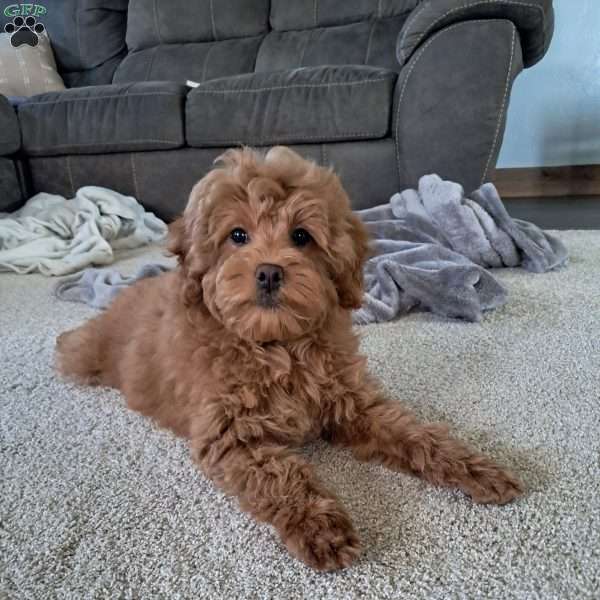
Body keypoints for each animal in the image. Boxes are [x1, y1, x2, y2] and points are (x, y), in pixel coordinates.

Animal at [58, 146, 524, 572]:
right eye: (238, 236)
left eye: (301, 236)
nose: (268, 272)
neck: (277, 346)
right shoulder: (233, 437)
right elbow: (281, 478)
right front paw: (320, 527)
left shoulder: (354, 402)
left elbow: (414, 433)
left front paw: (477, 469)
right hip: (89, 355)